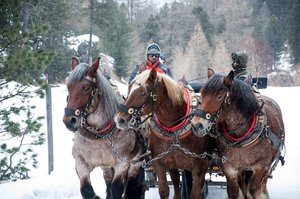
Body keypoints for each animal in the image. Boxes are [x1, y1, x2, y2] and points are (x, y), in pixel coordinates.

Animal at [62, 57, 145, 199]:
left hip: (136, 162)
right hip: (106, 166)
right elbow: (86, 190)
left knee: (131, 187)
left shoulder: (122, 164)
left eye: (86, 88)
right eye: (69, 87)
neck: (100, 134)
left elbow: (116, 189)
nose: (69, 121)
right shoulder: (80, 163)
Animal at [114, 67, 211, 198]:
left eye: (143, 92)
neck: (173, 129)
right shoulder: (161, 165)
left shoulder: (199, 168)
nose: (119, 119)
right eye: (129, 89)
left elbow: (195, 194)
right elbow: (165, 191)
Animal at [191, 70, 284, 198]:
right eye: (201, 95)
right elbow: (234, 192)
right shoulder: (229, 166)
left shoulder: (262, 165)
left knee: (261, 184)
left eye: (219, 97)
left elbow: (254, 189)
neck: (241, 136)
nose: (196, 125)